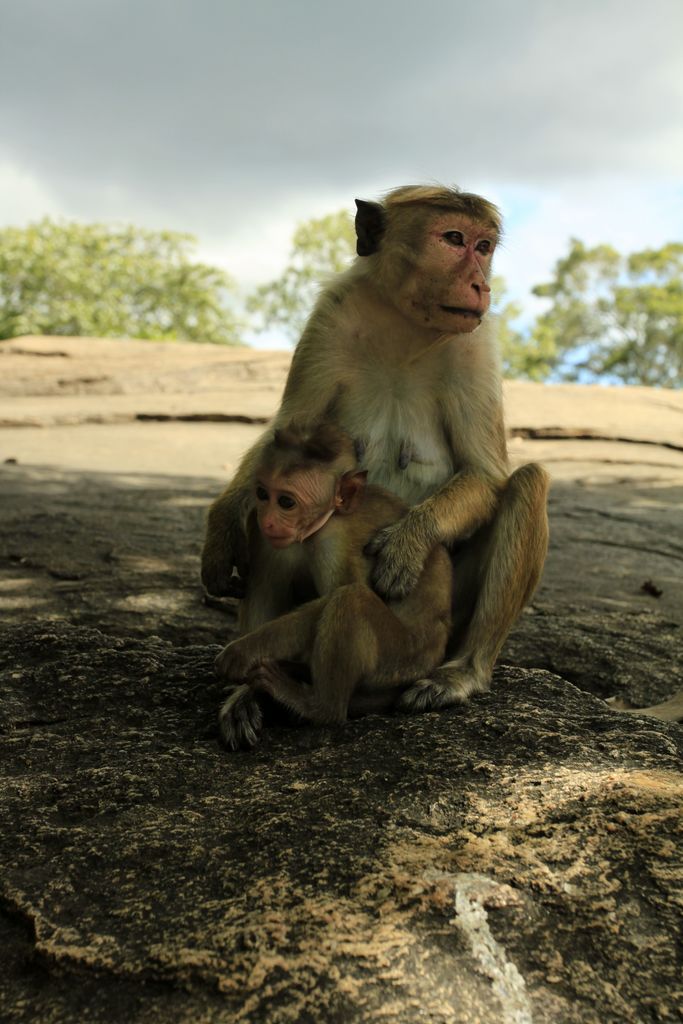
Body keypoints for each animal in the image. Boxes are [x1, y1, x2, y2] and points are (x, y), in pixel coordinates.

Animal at [216, 419, 454, 749]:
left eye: (286, 502)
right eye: (263, 494)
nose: (269, 520)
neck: (326, 520)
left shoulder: (334, 543)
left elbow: (335, 596)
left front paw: (244, 651)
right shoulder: (268, 537)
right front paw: (245, 694)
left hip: (402, 660)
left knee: (350, 600)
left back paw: (319, 707)